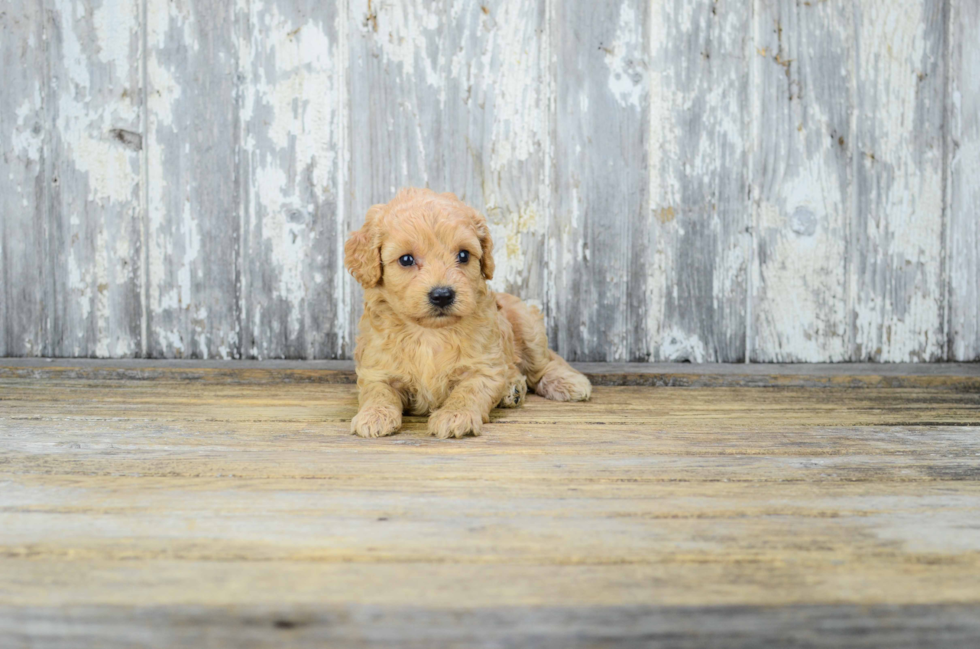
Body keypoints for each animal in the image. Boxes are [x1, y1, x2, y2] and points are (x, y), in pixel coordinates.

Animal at [344, 187, 588, 440]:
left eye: (463, 255)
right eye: (406, 259)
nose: (442, 295)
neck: (429, 333)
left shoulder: (484, 367)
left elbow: (468, 391)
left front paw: (454, 415)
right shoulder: (377, 369)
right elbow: (378, 392)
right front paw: (374, 415)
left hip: (528, 326)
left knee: (542, 365)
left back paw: (567, 382)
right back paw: (513, 389)